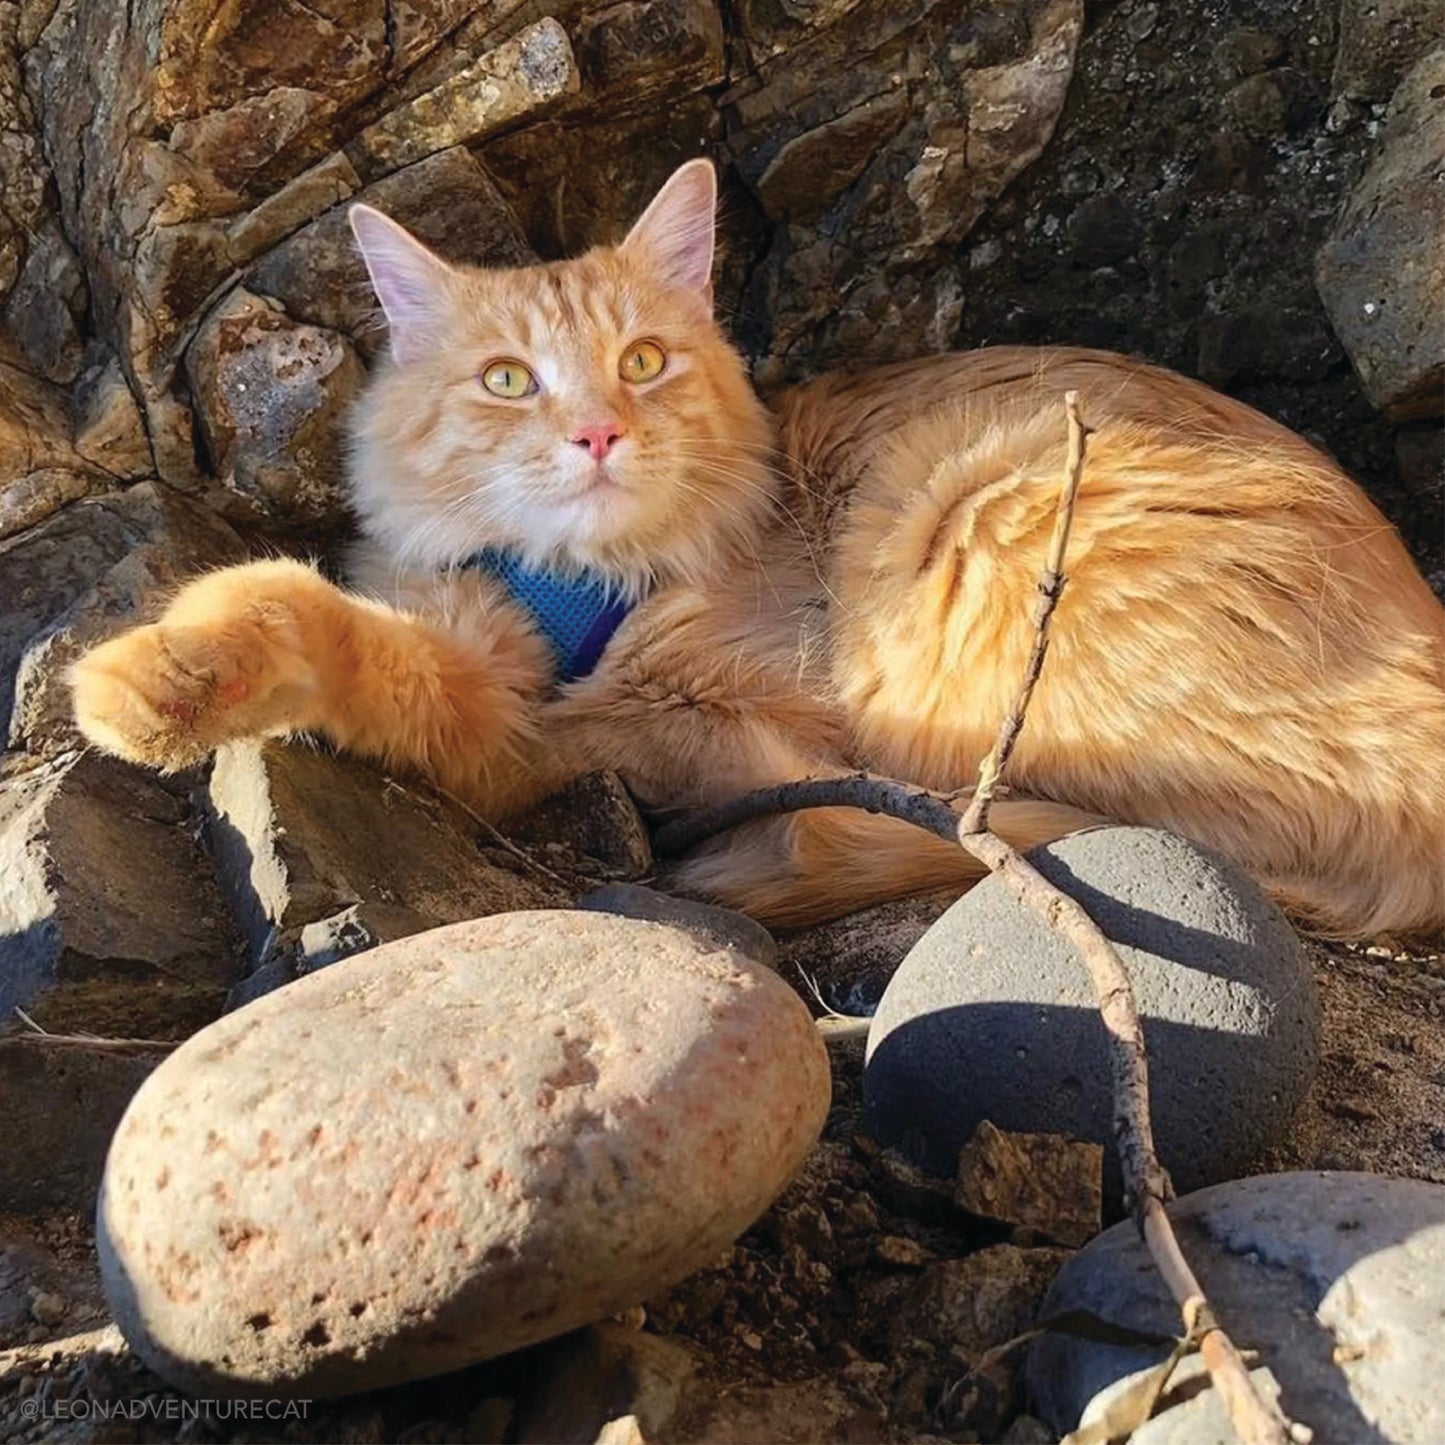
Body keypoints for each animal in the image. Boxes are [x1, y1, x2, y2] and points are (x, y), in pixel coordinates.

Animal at [73, 164, 1445, 942]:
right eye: (508, 380)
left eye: (641, 360)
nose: (597, 432)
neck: (580, 581)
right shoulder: (497, 661)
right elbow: (343, 625)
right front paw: (182, 665)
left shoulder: (629, 724)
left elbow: (329, 627)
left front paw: (149, 677)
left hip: (972, 519)